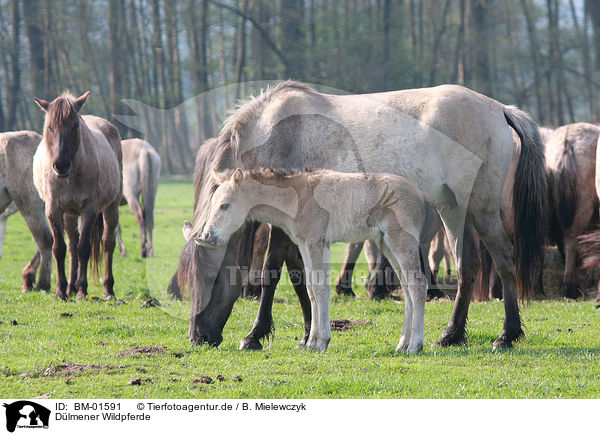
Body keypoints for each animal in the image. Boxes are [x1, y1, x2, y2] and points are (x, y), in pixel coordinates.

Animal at [32, 93, 123, 300]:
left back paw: (107, 289)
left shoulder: (89, 210)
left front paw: (82, 290)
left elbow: (84, 249)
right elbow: (59, 248)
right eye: (50, 127)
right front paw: (61, 291)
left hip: (111, 207)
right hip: (70, 214)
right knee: (72, 245)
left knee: (107, 243)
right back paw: (70, 288)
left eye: (75, 126)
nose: (60, 165)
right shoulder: (54, 210)